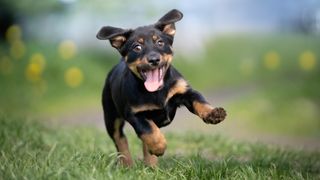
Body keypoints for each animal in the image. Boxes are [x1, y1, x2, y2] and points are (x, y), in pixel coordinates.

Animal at [96, 9, 226, 167]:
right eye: (137, 47)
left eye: (160, 42)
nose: (154, 59)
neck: (157, 91)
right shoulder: (134, 113)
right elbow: (148, 129)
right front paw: (159, 146)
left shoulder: (185, 92)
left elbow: (200, 101)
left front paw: (213, 113)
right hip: (111, 116)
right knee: (120, 139)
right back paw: (127, 164)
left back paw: (151, 166)